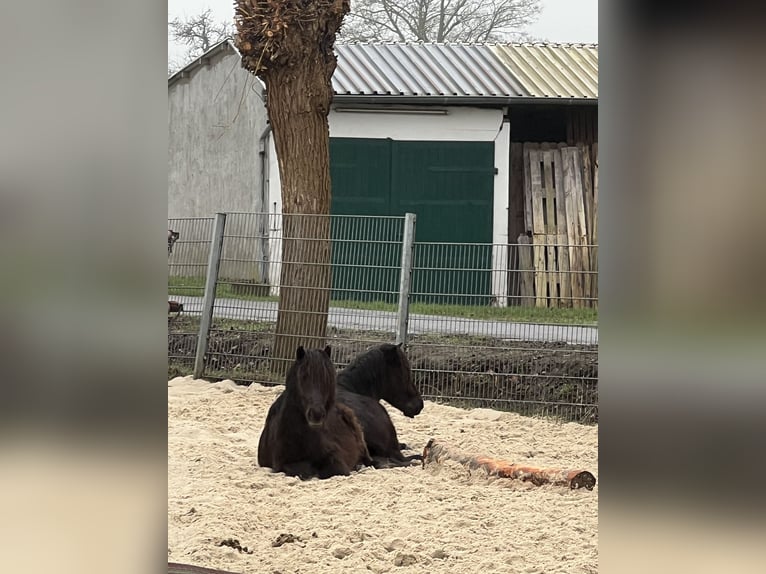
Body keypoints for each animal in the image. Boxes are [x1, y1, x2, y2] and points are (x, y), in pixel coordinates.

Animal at [260, 348, 374, 480]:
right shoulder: (283, 463)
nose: (316, 414)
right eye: (303, 377)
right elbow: (301, 470)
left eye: (327, 378)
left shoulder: (335, 456)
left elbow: (337, 468)